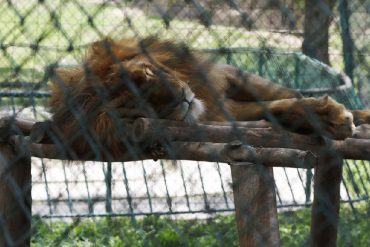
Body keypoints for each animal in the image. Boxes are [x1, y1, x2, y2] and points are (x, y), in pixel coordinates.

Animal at [49, 37, 370, 159]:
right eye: (137, 106)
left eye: (147, 73)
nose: (182, 98)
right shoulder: (222, 114)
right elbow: (276, 109)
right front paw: (329, 118)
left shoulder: (226, 79)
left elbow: (283, 96)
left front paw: (337, 116)